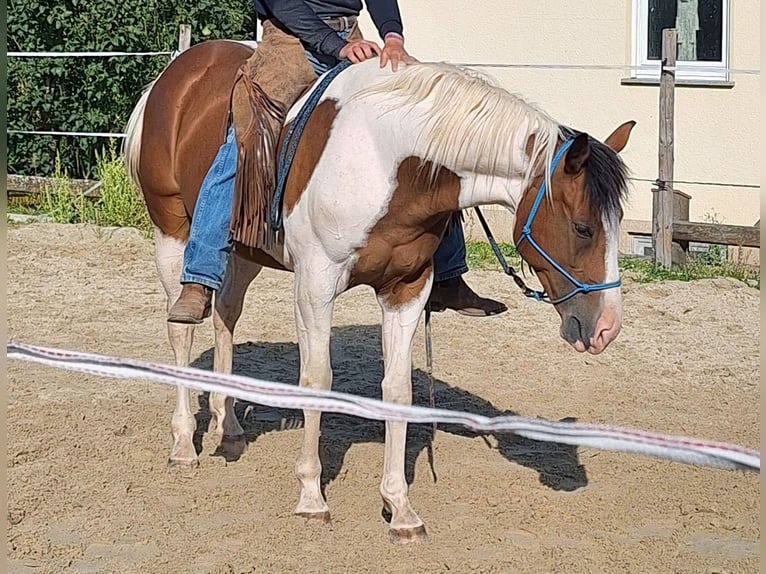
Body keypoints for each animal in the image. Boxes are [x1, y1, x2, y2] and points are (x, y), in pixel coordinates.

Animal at [124, 40, 636, 544]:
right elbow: (317, 380)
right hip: (171, 229)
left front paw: (400, 508)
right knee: (182, 329)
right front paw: (311, 496)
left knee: (225, 314)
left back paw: (228, 428)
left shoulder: (406, 289)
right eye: (584, 227)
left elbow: (398, 389)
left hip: (244, 249)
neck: (386, 159)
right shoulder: (315, 283)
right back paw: (183, 444)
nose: (606, 328)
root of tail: (174, 75)